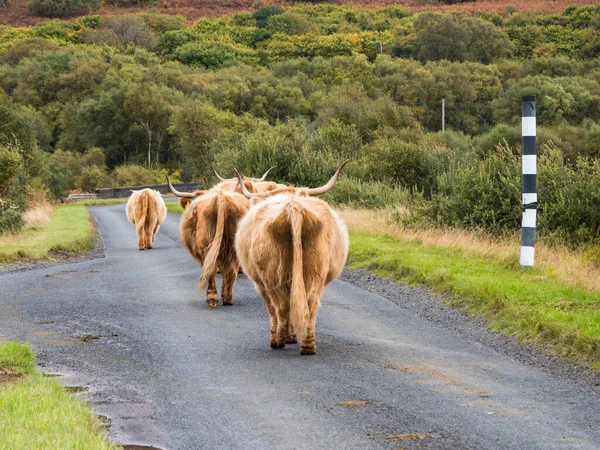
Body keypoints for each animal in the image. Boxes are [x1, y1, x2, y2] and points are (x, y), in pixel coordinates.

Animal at [233, 162, 350, 356]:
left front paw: (288, 337)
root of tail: (293, 207)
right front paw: (293, 336)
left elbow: (273, 308)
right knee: (309, 303)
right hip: (315, 270)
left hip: (272, 275)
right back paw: (307, 345)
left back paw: (278, 340)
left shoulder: (260, 283)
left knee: (280, 305)